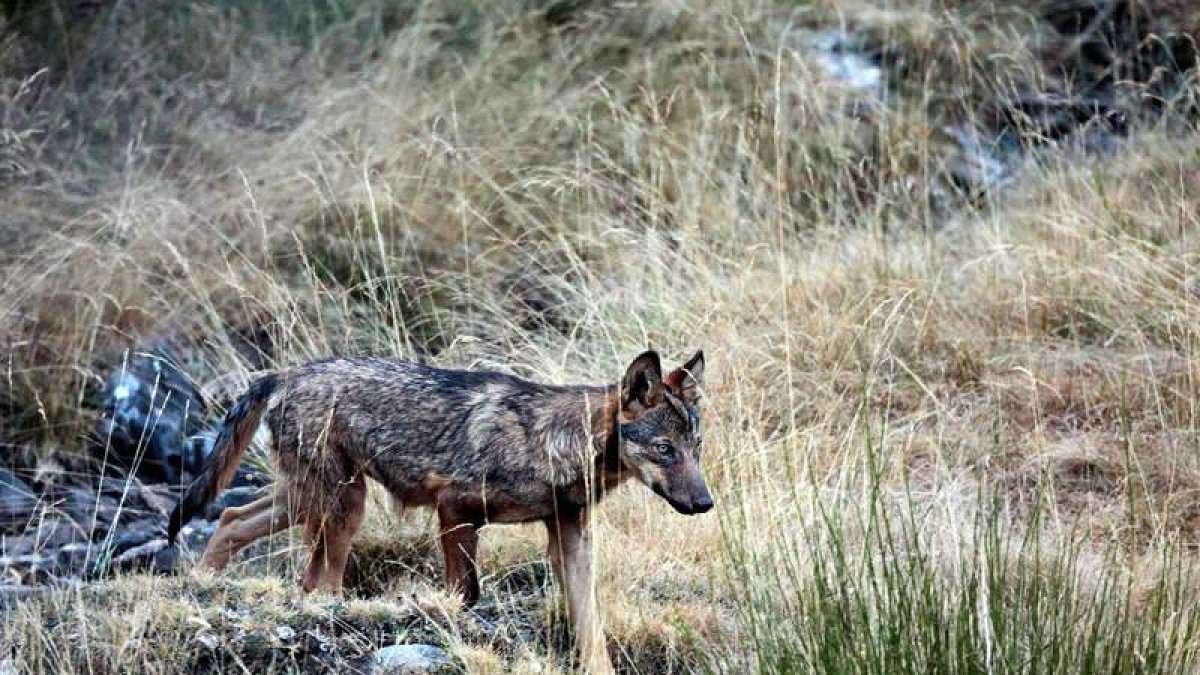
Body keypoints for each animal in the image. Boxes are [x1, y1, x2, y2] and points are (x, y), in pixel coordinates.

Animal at [169, 348, 710, 667]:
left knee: (231, 519)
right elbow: (464, 594)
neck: (551, 443)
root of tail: (286, 371)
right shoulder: (455, 510)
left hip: (307, 501)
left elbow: (590, 629)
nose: (706, 503)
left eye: (696, 446)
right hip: (342, 507)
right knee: (317, 582)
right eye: (665, 449)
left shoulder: (570, 537)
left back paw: (201, 583)